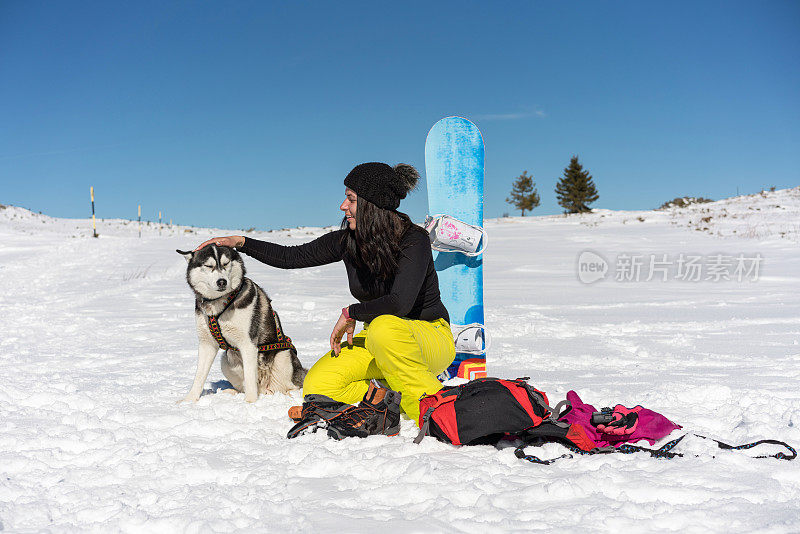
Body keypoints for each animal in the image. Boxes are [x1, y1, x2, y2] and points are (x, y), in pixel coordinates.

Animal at [177, 245, 304, 404]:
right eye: (209, 266)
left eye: (226, 263)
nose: (222, 281)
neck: (219, 304)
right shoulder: (206, 344)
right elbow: (199, 376)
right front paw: (189, 400)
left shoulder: (248, 344)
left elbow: (250, 378)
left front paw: (250, 402)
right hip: (226, 361)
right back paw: (230, 392)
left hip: (284, 356)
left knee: (290, 386)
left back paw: (290, 396)